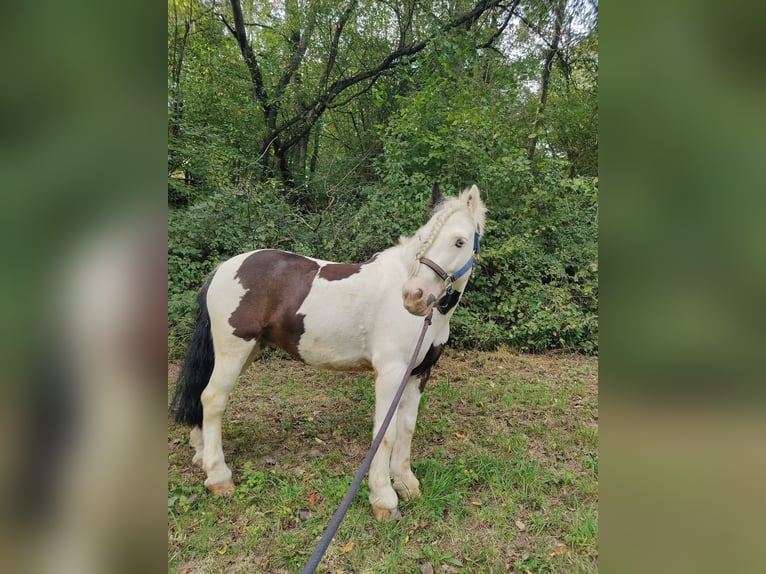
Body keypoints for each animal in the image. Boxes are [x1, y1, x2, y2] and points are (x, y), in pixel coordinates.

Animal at [171, 183, 488, 520]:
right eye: (424, 237)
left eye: (459, 241)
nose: (414, 296)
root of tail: (223, 269)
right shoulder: (391, 373)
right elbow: (385, 432)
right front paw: (384, 498)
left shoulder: (418, 374)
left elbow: (406, 427)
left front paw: (405, 483)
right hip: (235, 349)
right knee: (213, 398)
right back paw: (218, 476)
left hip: (246, 351)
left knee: (203, 395)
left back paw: (202, 454)